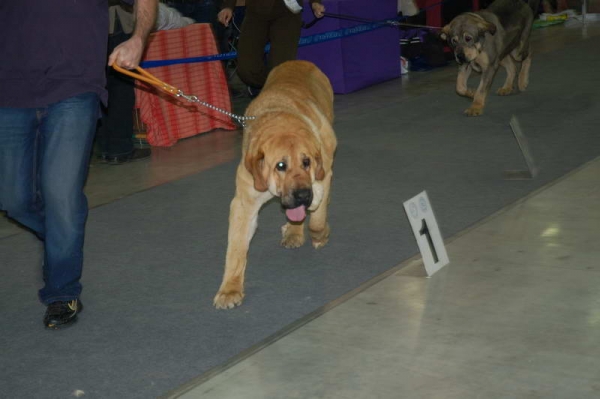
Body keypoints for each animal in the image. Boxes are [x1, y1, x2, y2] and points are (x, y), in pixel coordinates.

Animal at [214, 60, 338, 310]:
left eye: (306, 162)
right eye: (280, 165)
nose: (302, 195)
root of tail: (298, 61)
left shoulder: (323, 176)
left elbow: (317, 220)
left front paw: (320, 235)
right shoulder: (244, 203)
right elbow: (236, 248)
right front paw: (230, 289)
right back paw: (293, 232)